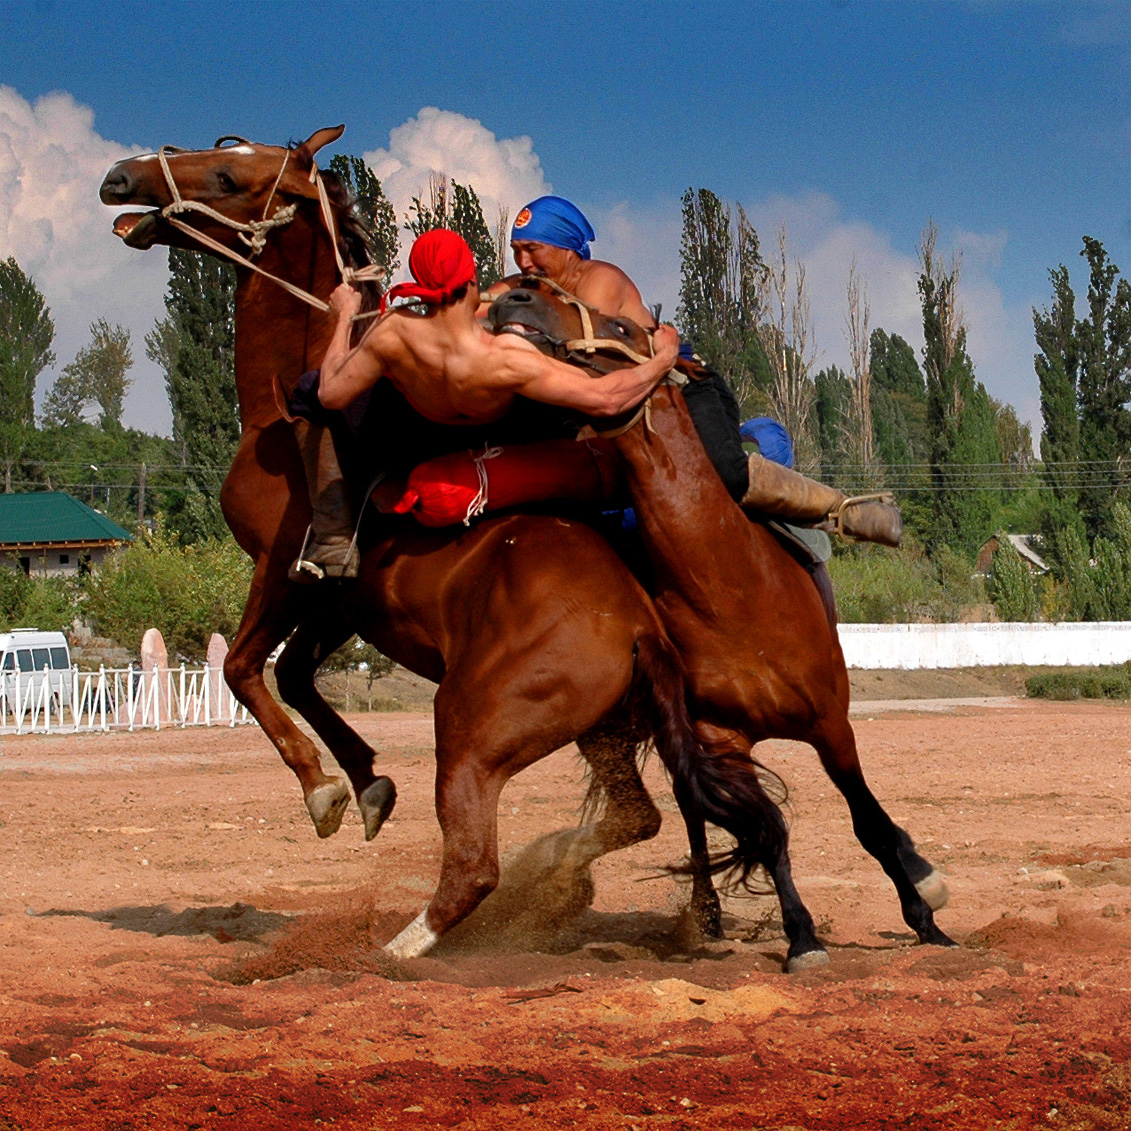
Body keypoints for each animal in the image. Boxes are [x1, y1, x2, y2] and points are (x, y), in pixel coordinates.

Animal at [97, 130, 814, 963]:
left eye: (226, 174)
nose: (119, 178)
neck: (286, 402)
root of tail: (641, 624)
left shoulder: (283, 568)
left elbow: (246, 670)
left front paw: (325, 789)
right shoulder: (342, 595)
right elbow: (299, 674)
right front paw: (368, 784)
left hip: (473, 725)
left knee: (478, 859)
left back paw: (406, 946)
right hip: (598, 726)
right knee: (643, 813)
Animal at [490, 282, 959, 954]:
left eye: (621, 326)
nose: (516, 300)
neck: (731, 592)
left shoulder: (831, 725)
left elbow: (867, 822)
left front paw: (924, 917)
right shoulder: (718, 737)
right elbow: (764, 830)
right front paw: (801, 937)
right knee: (692, 815)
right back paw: (704, 912)